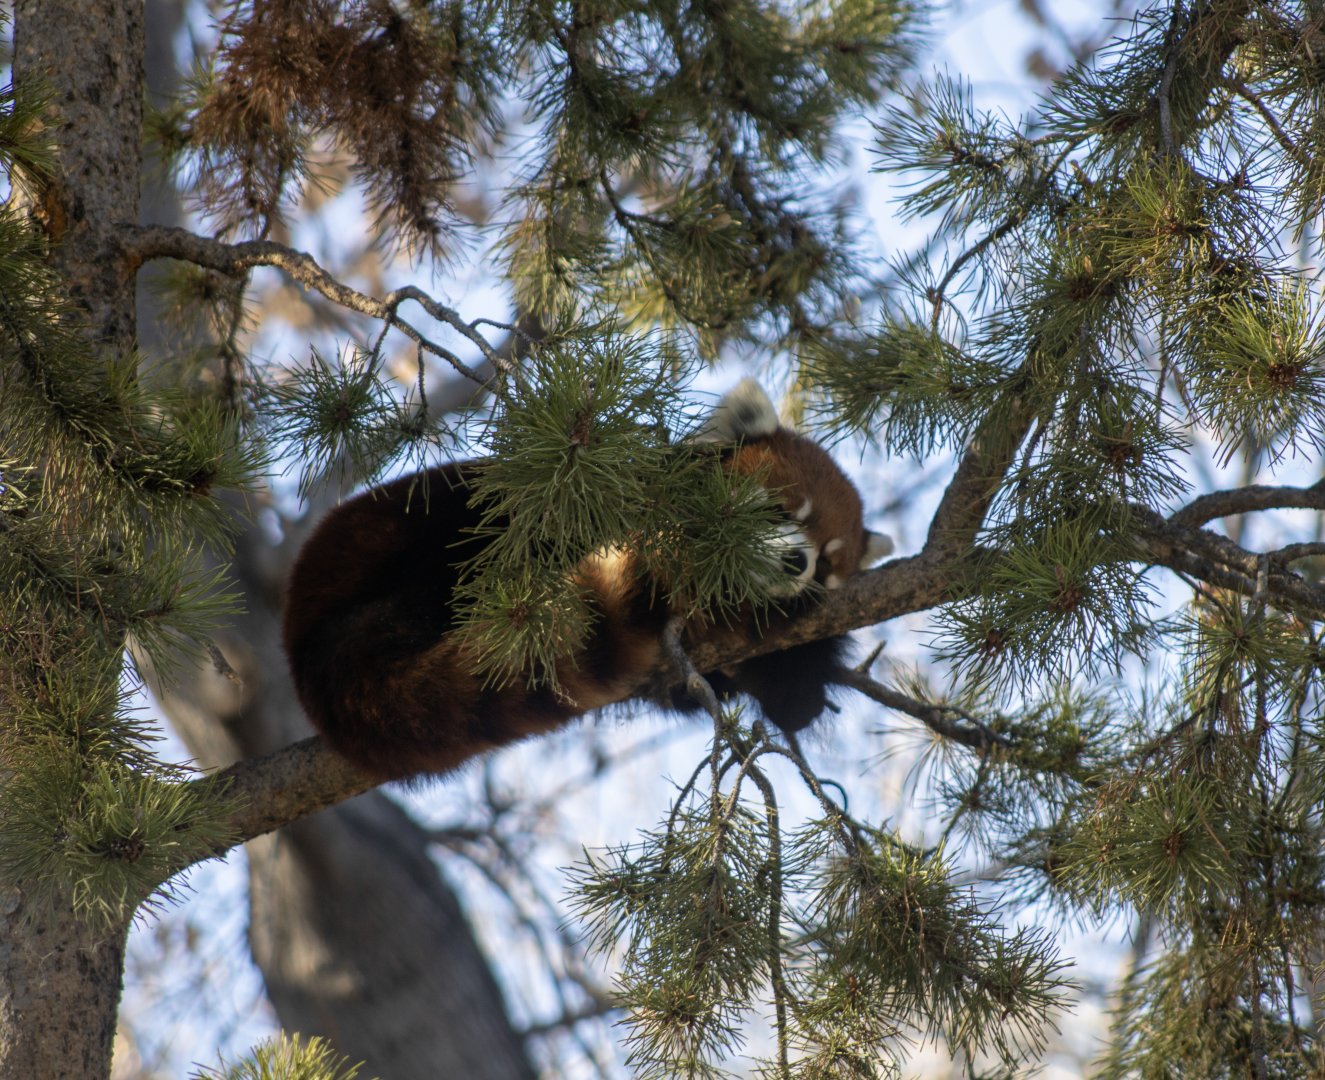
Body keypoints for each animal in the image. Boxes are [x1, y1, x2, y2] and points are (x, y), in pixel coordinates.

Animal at [282, 379, 892, 779]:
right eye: (779, 511)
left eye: (827, 563)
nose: (796, 564)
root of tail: (299, 643)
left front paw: (795, 680)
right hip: (422, 540)